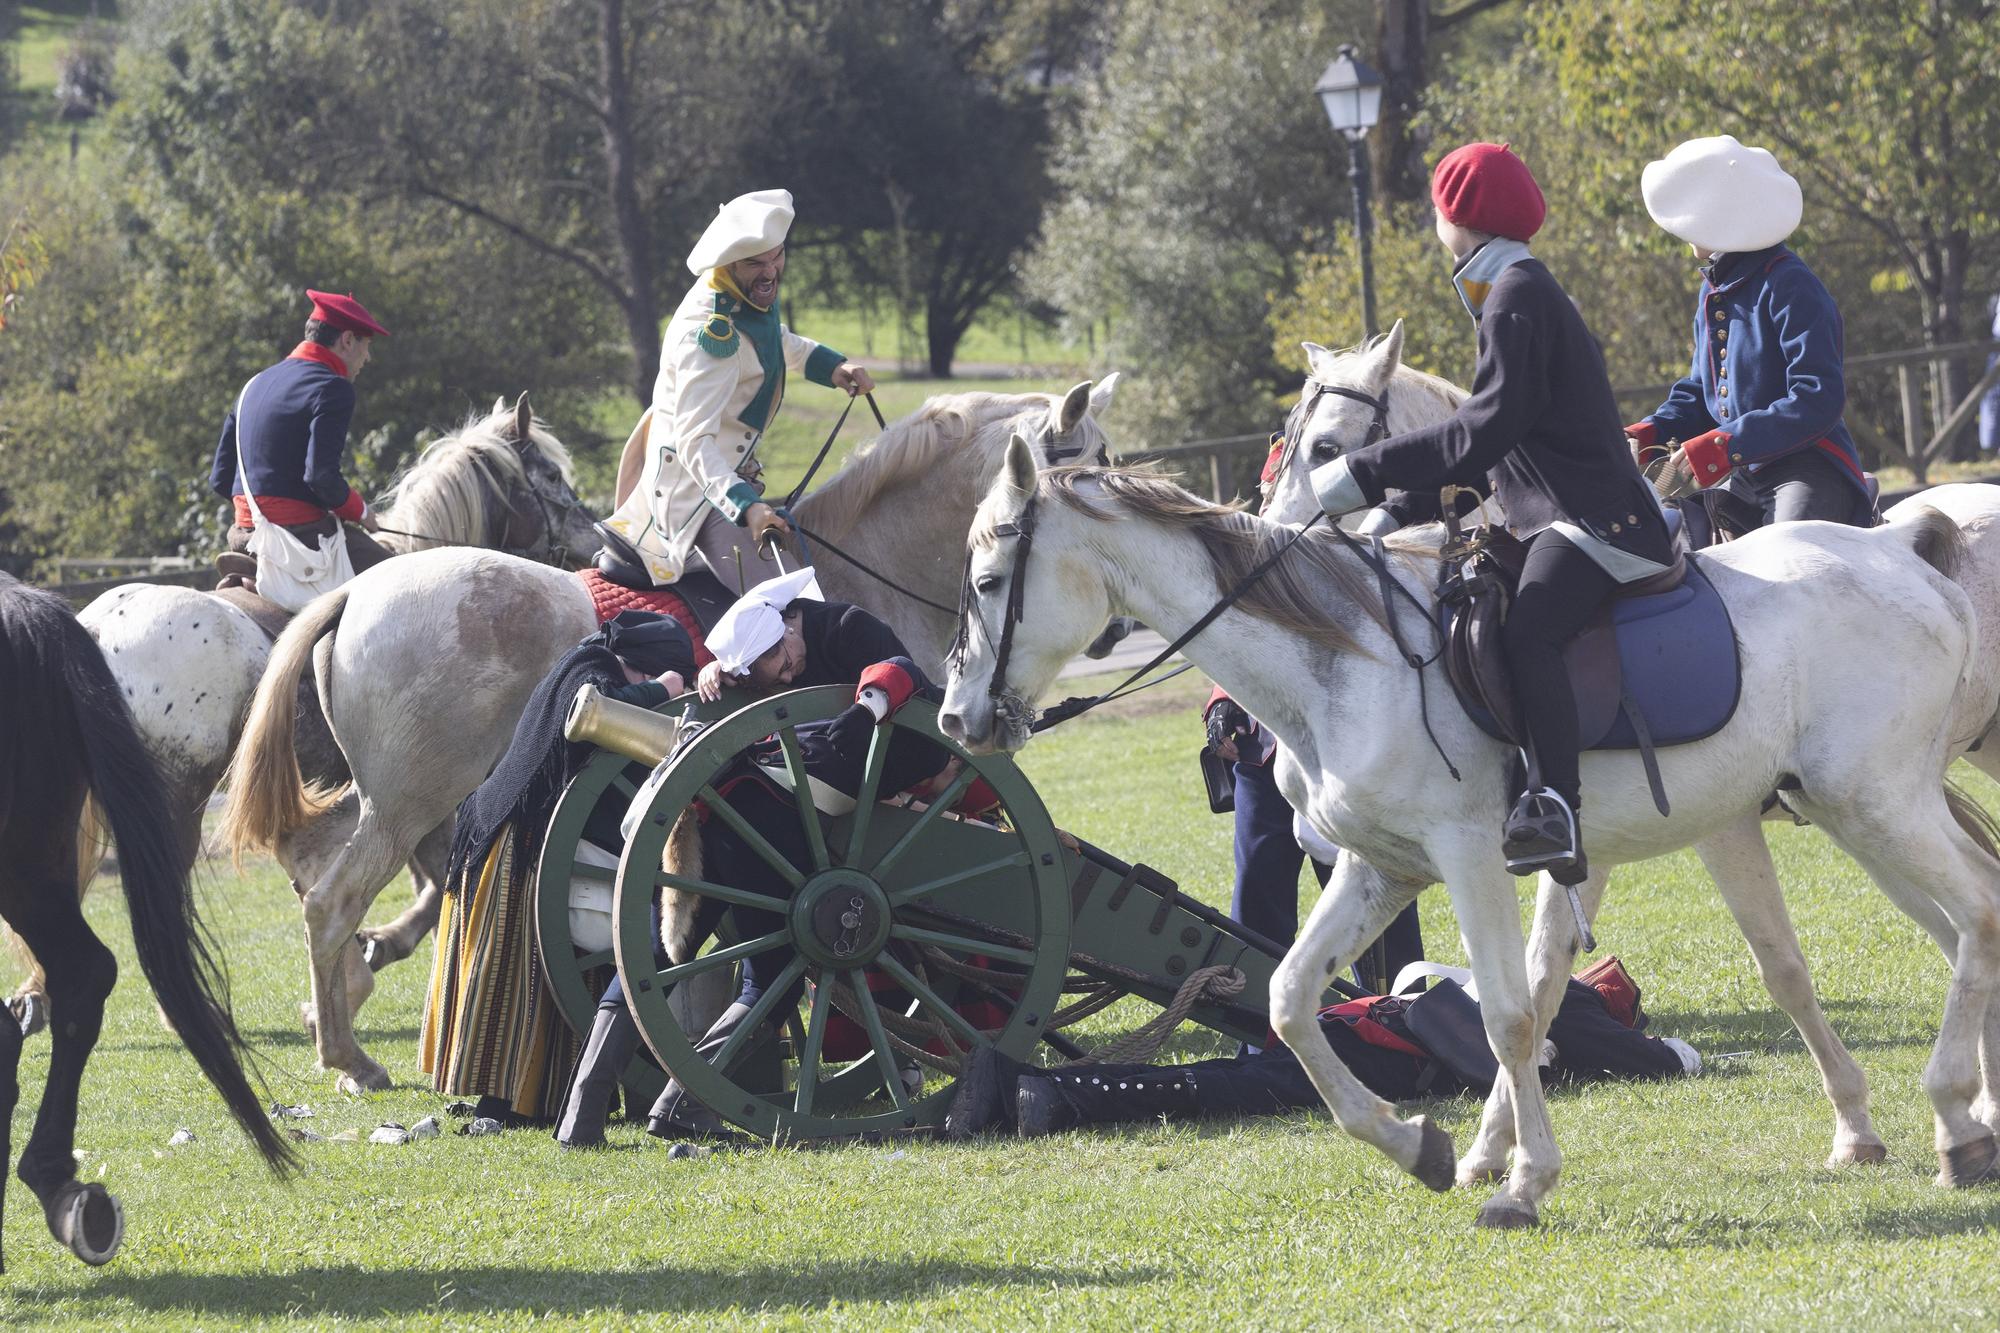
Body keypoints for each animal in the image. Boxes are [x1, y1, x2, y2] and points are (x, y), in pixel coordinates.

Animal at [223, 378, 1128, 1088]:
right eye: (1091, 464)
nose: (1117, 624)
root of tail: (357, 593)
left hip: (395, 795)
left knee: (343, 871)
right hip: (409, 797)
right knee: (334, 896)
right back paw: (348, 1053)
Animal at [936, 428, 2000, 1224]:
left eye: (988, 580)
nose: (955, 720)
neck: (1351, 662)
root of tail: (1905, 549)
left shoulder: (1472, 856)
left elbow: (1510, 1013)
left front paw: (1522, 1182)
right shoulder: (1381, 868)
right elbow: (1289, 999)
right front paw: (1420, 1145)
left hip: (1875, 804)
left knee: (1978, 916)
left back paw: (1955, 1120)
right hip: (1855, 811)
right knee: (1967, 925)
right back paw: (1969, 1118)